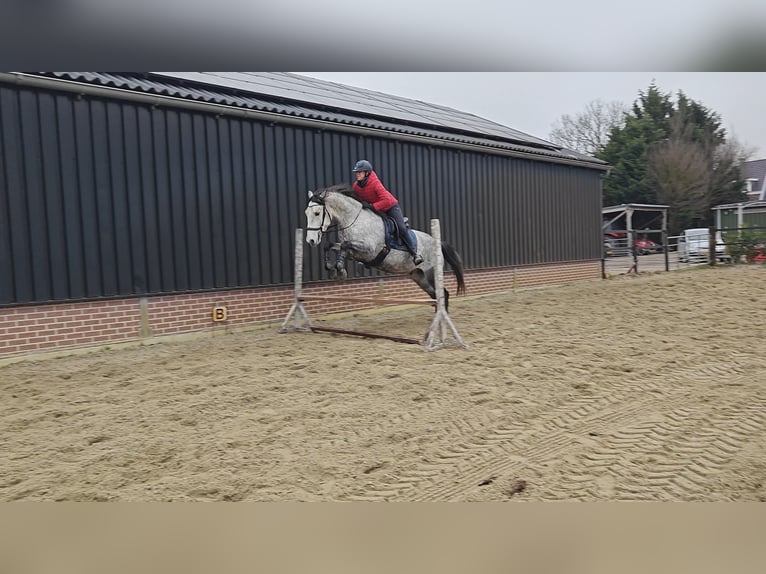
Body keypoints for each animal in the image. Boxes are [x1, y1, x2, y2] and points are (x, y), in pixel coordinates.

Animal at [304, 184, 466, 310]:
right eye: (306, 213)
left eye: (317, 213)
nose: (311, 240)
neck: (353, 220)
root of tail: (438, 243)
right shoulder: (354, 253)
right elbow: (330, 246)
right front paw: (333, 270)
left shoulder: (369, 250)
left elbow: (344, 245)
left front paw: (339, 269)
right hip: (419, 276)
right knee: (435, 295)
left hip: (431, 273)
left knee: (443, 294)